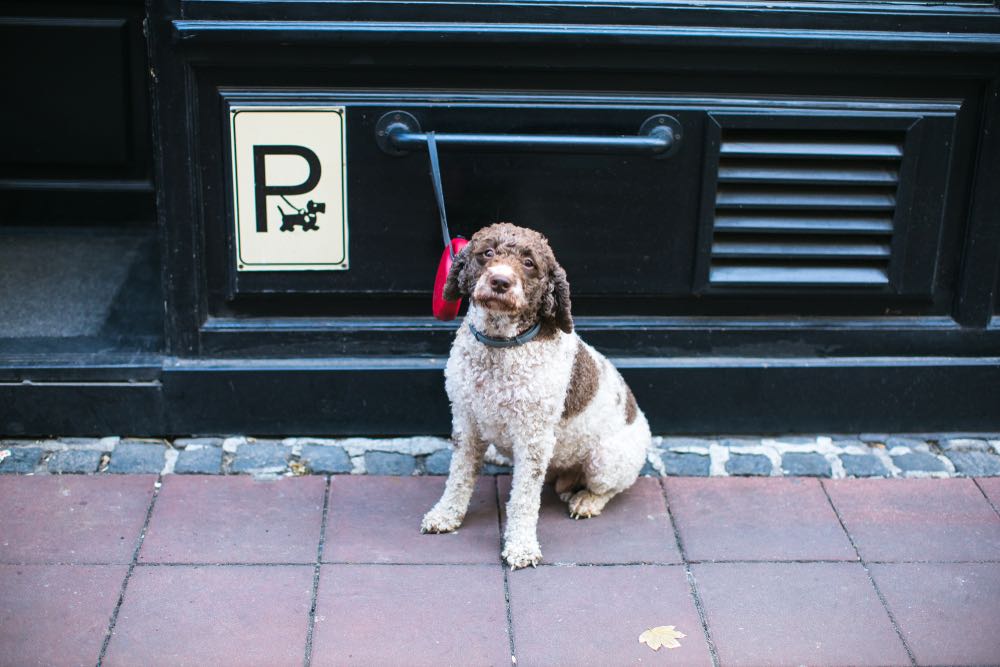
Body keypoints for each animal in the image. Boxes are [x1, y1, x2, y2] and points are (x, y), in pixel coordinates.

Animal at [420, 223, 648, 568]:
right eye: (487, 252)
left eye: (529, 263)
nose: (500, 281)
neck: (500, 346)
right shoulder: (466, 421)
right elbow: (459, 476)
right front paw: (446, 514)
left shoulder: (533, 439)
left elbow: (524, 498)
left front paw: (521, 546)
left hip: (606, 460)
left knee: (609, 488)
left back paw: (586, 500)